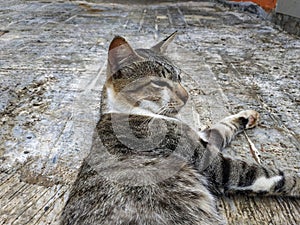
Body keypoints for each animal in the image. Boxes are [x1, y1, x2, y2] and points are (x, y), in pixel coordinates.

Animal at [60, 32, 298, 225]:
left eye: (180, 77)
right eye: (159, 83)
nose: (187, 96)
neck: (131, 112)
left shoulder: (201, 137)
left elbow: (221, 127)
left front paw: (246, 116)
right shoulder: (211, 161)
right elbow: (267, 175)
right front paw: (296, 180)